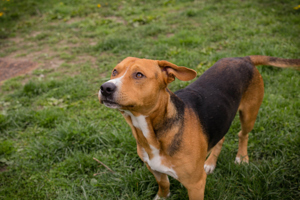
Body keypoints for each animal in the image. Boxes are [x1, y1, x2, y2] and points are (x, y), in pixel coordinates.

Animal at [98, 55, 300, 199]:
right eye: (115, 71)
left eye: (139, 75)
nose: (105, 87)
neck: (153, 132)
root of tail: (243, 58)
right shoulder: (154, 169)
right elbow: (164, 185)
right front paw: (162, 197)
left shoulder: (196, 184)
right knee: (221, 138)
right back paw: (210, 163)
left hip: (249, 114)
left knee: (243, 134)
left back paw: (242, 157)